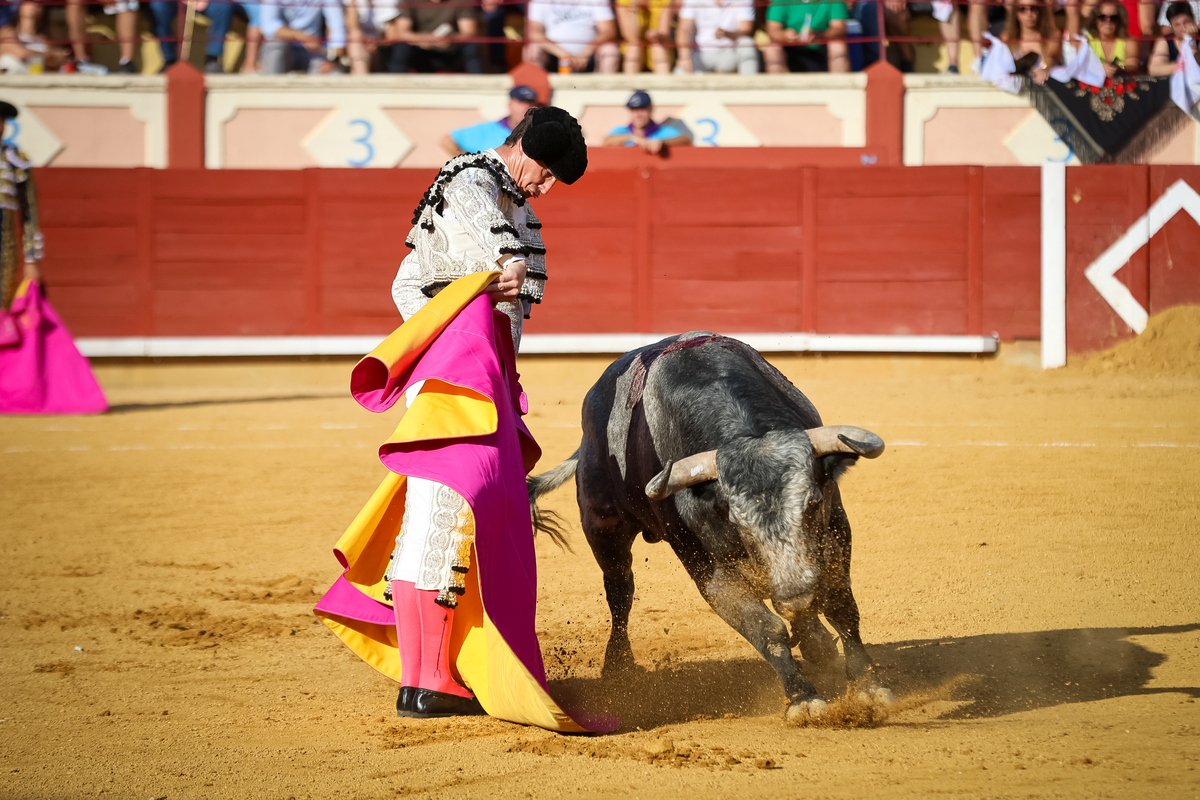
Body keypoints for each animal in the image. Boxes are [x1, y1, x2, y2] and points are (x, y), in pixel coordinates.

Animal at [532, 335, 892, 724]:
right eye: (736, 519)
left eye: (813, 501)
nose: (799, 597)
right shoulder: (709, 572)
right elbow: (765, 628)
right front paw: (803, 698)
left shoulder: (836, 531)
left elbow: (842, 608)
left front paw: (869, 687)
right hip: (603, 530)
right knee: (620, 592)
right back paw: (618, 666)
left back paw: (816, 641)